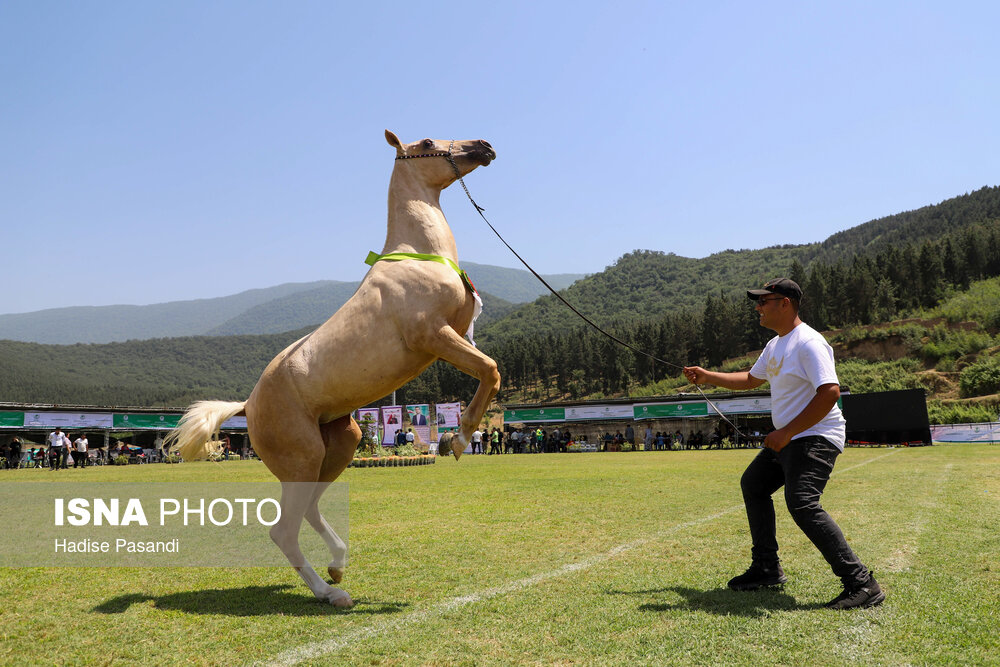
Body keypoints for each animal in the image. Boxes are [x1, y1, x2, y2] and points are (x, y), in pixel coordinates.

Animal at [169, 129, 508, 604]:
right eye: (426, 141)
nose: (484, 145)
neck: (416, 256)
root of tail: (247, 405)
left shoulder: (453, 334)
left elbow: (487, 370)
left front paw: (453, 437)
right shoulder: (433, 336)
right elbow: (490, 369)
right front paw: (454, 441)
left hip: (341, 443)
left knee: (310, 510)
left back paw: (337, 567)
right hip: (303, 457)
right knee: (283, 531)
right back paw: (330, 593)